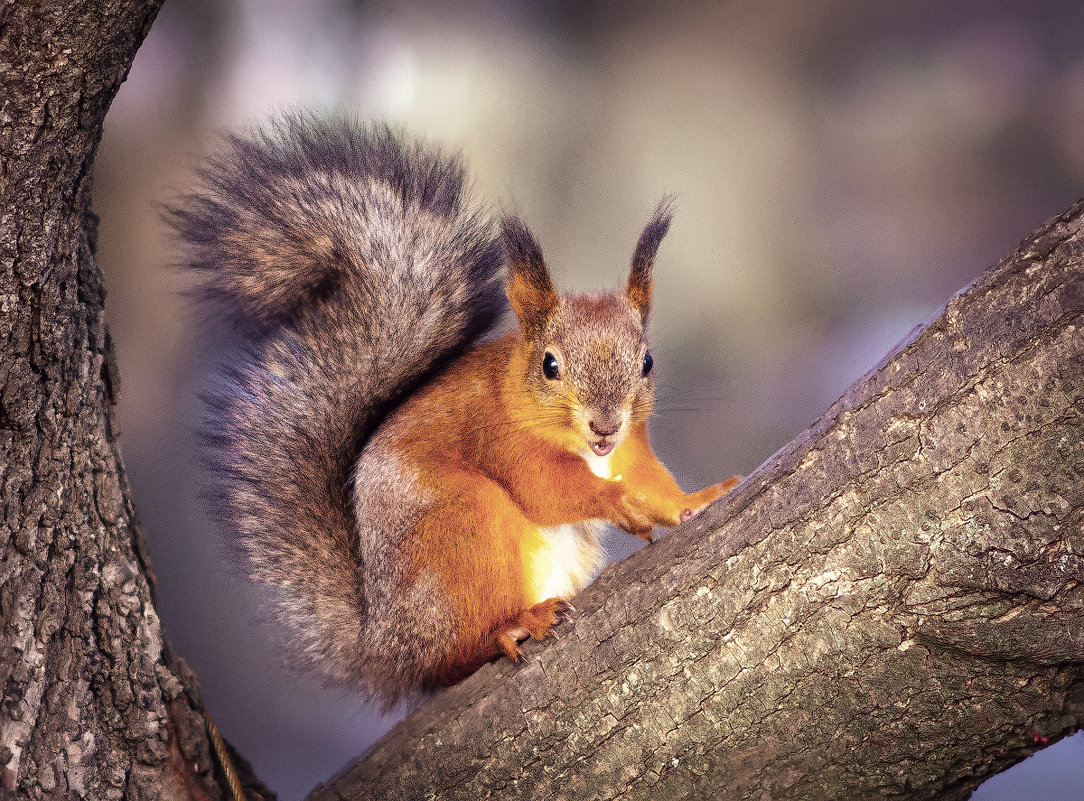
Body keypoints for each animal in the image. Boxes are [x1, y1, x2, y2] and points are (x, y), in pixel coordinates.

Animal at [171, 114, 745, 702]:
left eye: (647, 361)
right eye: (550, 365)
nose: (605, 425)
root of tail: (387, 647)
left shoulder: (631, 447)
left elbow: (653, 481)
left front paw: (693, 501)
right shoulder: (502, 439)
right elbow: (547, 490)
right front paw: (617, 500)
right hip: (461, 528)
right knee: (455, 656)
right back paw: (512, 626)